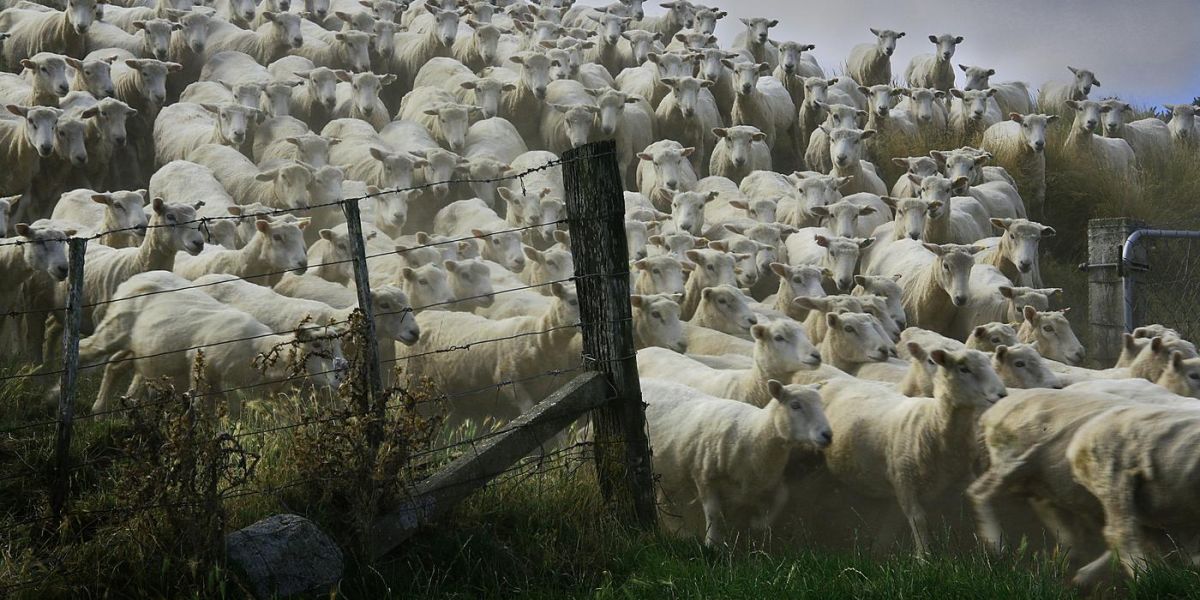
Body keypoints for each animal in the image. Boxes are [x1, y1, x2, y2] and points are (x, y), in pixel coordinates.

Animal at [648, 379, 825, 549]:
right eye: (795, 405)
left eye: (821, 404)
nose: (827, 434)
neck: (754, 432)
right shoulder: (704, 476)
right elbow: (713, 513)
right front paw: (712, 543)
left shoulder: (762, 481)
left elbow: (782, 496)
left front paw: (759, 523)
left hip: (669, 471)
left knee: (662, 502)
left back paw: (681, 532)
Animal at [820, 350, 1008, 554]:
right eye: (964, 369)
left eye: (990, 365)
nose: (1002, 394)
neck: (933, 423)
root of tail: (829, 381)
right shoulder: (904, 481)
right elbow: (918, 519)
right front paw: (924, 557)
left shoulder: (961, 474)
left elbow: (980, 498)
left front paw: (994, 539)